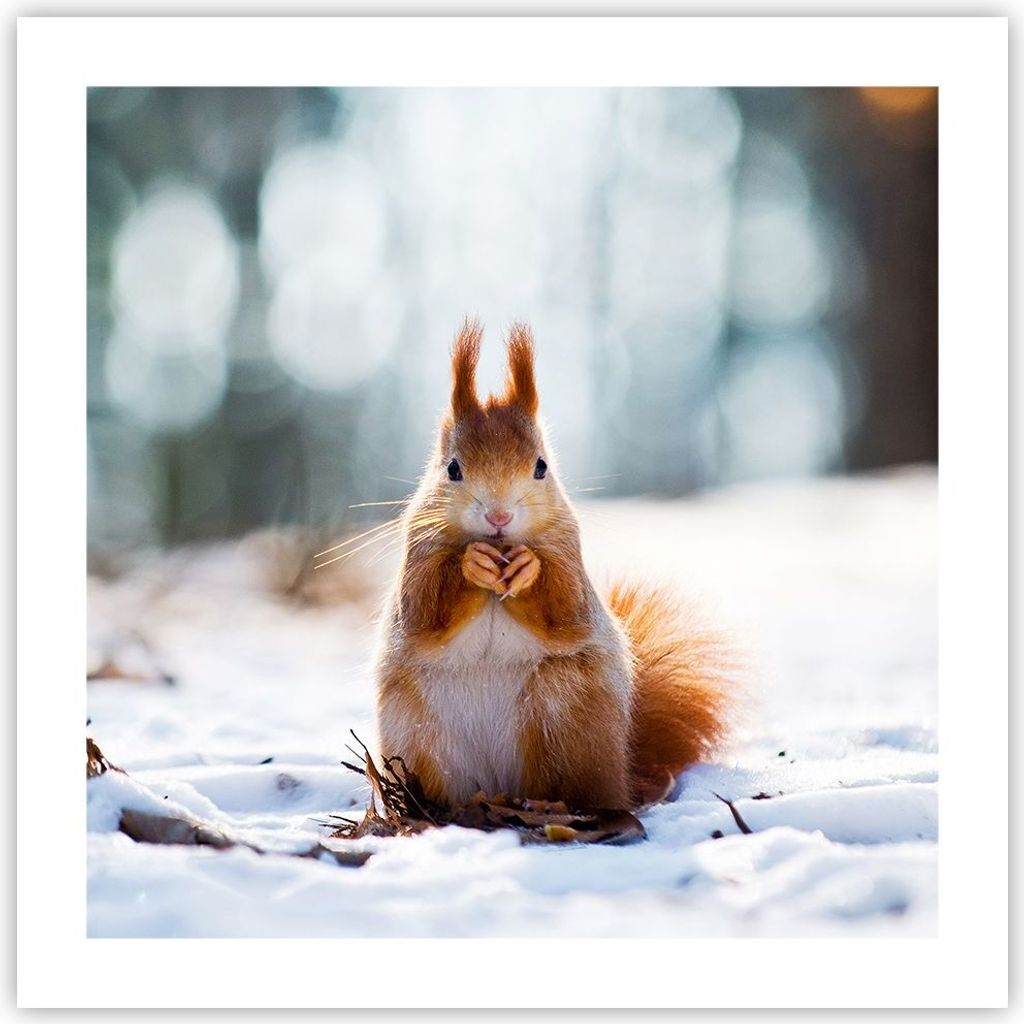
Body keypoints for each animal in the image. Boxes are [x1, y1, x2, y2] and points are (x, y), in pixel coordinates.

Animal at [375, 320, 737, 811]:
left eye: (541, 466)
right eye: (452, 469)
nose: (499, 517)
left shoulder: (569, 555)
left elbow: (565, 608)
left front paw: (528, 569)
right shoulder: (417, 555)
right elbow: (424, 610)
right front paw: (472, 563)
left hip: (563, 709)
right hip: (415, 732)